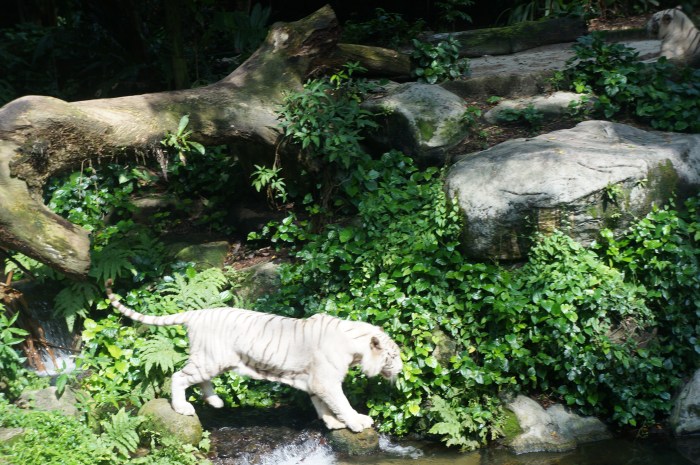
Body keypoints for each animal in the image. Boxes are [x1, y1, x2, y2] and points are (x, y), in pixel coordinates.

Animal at [104, 280, 402, 432]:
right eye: (393, 355)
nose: (402, 368)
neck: (355, 346)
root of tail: (197, 313)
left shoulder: (315, 381)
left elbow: (323, 404)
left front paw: (332, 423)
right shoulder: (326, 380)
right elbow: (341, 402)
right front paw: (357, 421)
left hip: (212, 361)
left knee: (199, 380)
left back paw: (215, 401)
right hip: (210, 360)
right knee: (178, 376)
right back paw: (183, 408)